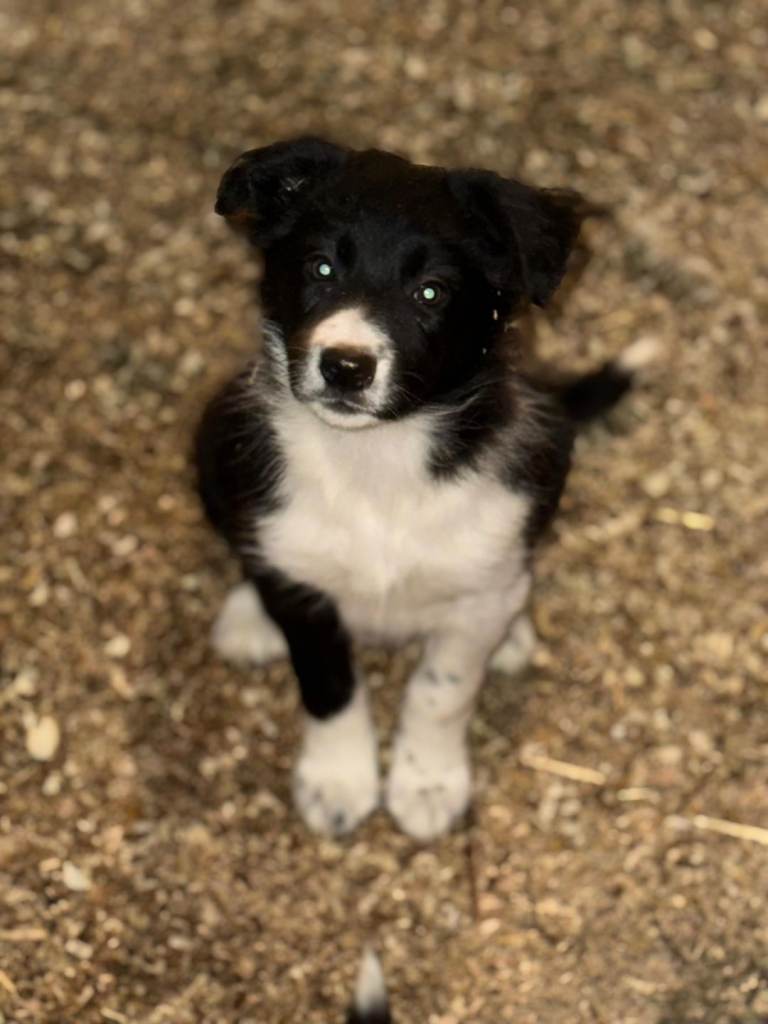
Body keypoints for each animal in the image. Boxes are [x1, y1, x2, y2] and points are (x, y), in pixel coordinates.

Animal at [196, 137, 651, 841]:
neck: (377, 461)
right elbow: (328, 683)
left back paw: (512, 633)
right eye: (321, 269)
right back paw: (251, 611)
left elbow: (443, 688)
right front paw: (338, 780)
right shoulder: (308, 602)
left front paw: (428, 782)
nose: (346, 366)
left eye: (431, 292)